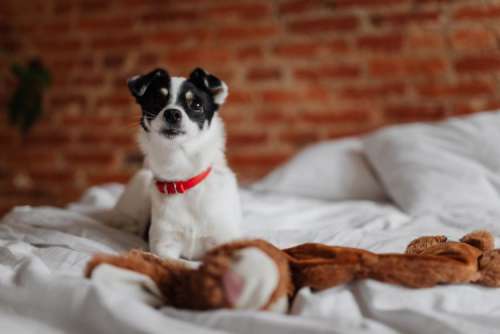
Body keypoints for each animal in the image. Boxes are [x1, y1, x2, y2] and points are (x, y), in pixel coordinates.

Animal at [106, 68, 243, 260]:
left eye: (196, 105)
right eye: (157, 100)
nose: (172, 113)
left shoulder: (224, 240)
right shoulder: (164, 245)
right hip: (140, 180)